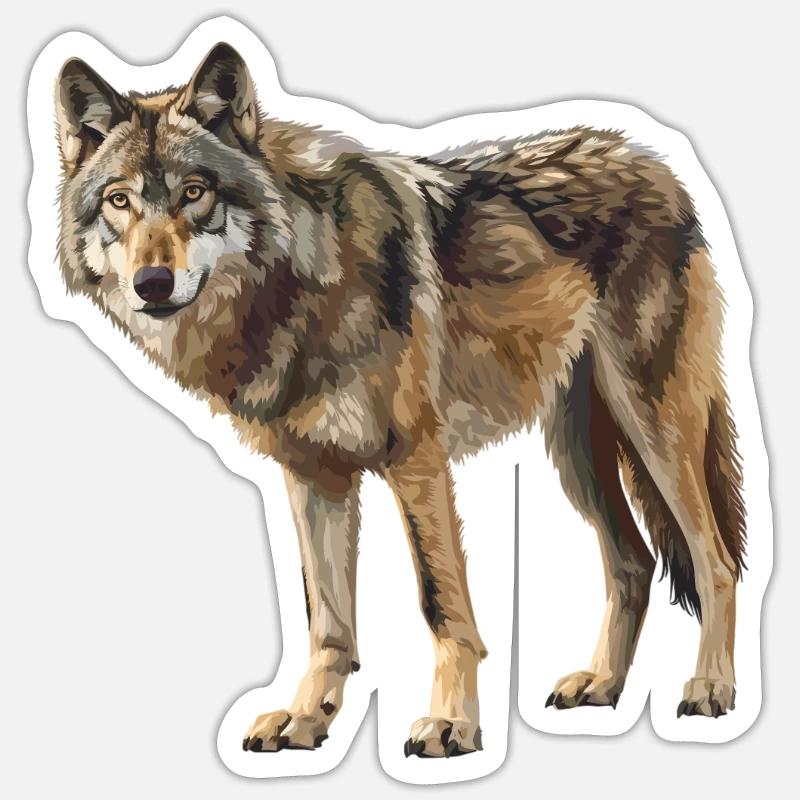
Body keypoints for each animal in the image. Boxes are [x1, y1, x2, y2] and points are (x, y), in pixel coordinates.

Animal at [54, 42, 746, 757]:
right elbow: (327, 620)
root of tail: (655, 161)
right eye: (119, 201)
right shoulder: (314, 475)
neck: (301, 283)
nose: (152, 283)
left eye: (194, 193)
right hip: (577, 455)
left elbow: (441, 604)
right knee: (634, 564)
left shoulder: (415, 460)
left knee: (716, 561)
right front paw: (307, 719)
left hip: (654, 429)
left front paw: (452, 724)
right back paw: (602, 685)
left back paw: (710, 688)